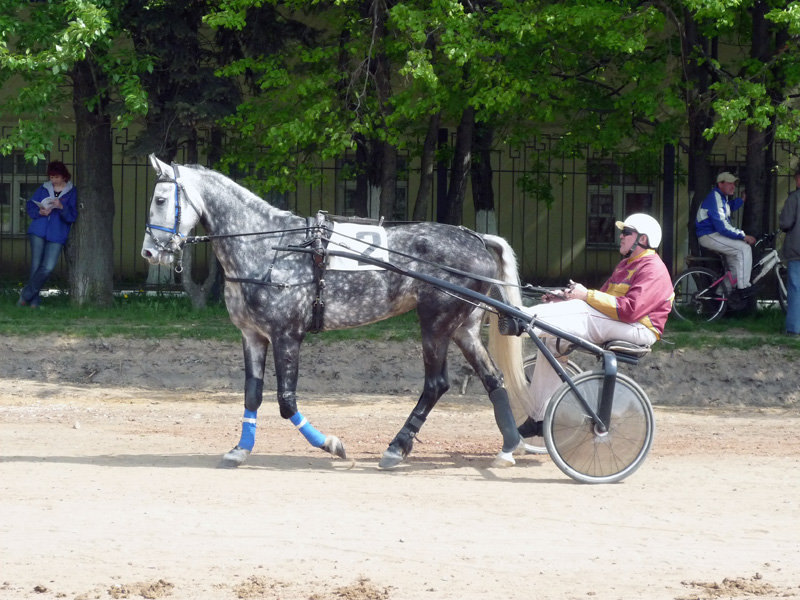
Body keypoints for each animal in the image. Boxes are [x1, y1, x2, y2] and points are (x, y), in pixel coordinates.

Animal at [142, 155, 532, 468]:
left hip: (435, 323)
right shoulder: (253, 336)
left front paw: (331, 444)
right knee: (493, 378)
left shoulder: (287, 336)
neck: (270, 246)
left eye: (160, 199)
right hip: (463, 327)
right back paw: (509, 446)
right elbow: (252, 394)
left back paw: (397, 447)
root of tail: (479, 238)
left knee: (436, 384)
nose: (149, 252)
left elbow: (286, 401)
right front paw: (240, 449)